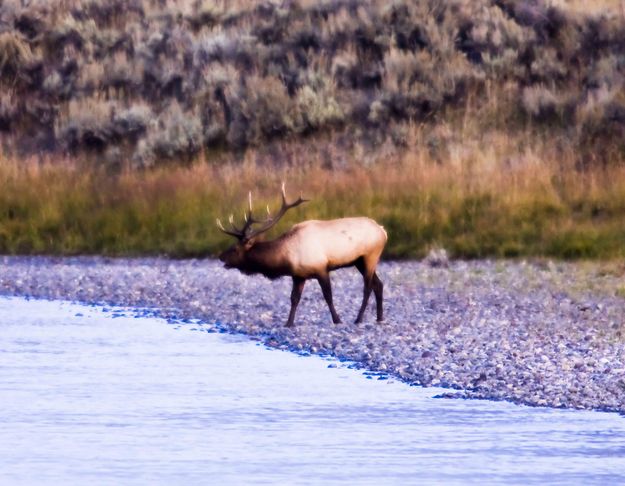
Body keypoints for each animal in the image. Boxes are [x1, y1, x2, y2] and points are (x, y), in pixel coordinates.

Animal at [217, 184, 388, 328]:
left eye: (234, 249)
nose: (220, 256)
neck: (286, 257)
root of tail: (383, 231)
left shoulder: (321, 268)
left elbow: (328, 296)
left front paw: (337, 320)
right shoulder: (298, 275)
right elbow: (294, 299)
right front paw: (288, 323)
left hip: (370, 255)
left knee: (367, 287)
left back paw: (359, 319)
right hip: (359, 261)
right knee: (378, 284)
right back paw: (379, 317)